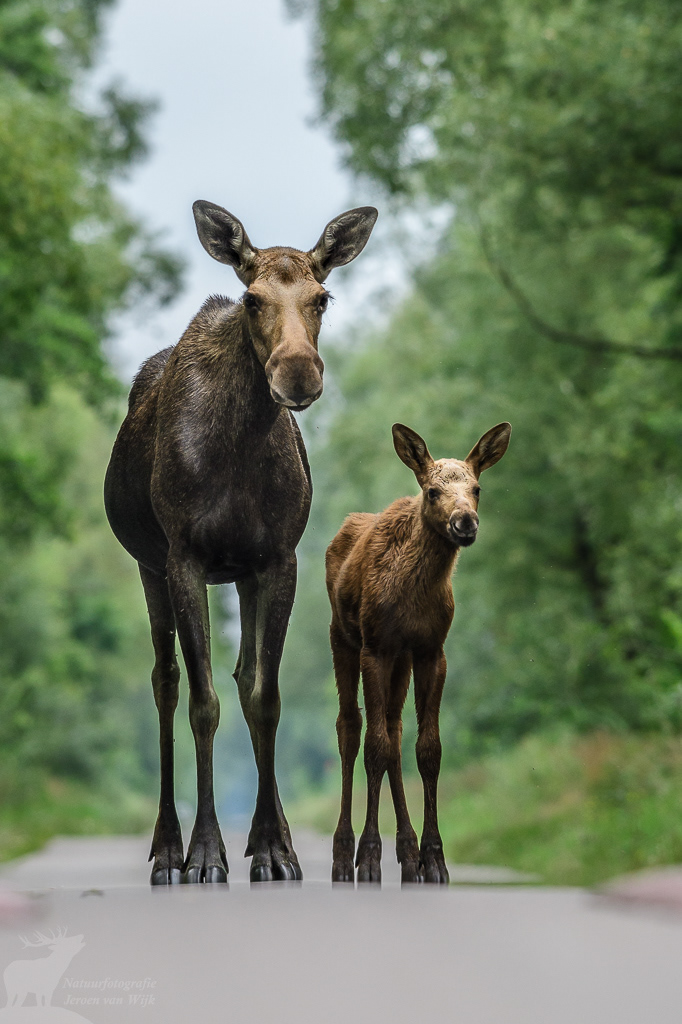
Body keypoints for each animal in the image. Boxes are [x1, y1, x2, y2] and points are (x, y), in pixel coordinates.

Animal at [104, 200, 378, 884]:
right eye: (252, 298)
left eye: (323, 296)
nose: (298, 373)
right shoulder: (184, 557)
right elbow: (203, 703)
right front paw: (206, 853)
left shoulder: (277, 558)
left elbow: (265, 696)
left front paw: (274, 847)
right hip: (149, 566)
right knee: (166, 682)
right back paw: (166, 848)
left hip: (241, 574)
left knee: (243, 676)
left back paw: (270, 837)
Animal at [326, 420, 511, 884]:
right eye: (431, 491)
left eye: (477, 487)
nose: (465, 522)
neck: (416, 593)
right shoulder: (375, 646)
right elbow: (373, 746)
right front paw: (370, 858)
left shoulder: (431, 650)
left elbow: (428, 750)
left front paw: (435, 858)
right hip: (343, 638)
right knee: (351, 728)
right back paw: (344, 855)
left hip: (401, 660)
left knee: (394, 729)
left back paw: (408, 852)